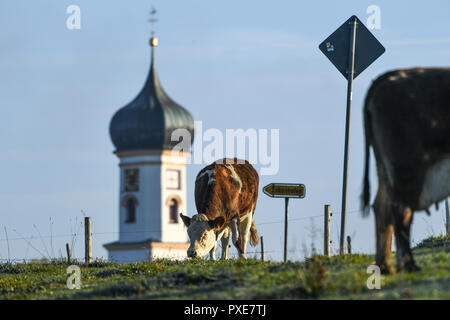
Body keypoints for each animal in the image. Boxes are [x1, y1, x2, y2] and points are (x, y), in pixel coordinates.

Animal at [362, 67, 450, 272]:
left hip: (385, 168)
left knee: (382, 206)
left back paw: (386, 266)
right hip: (406, 165)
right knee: (400, 209)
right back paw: (409, 264)